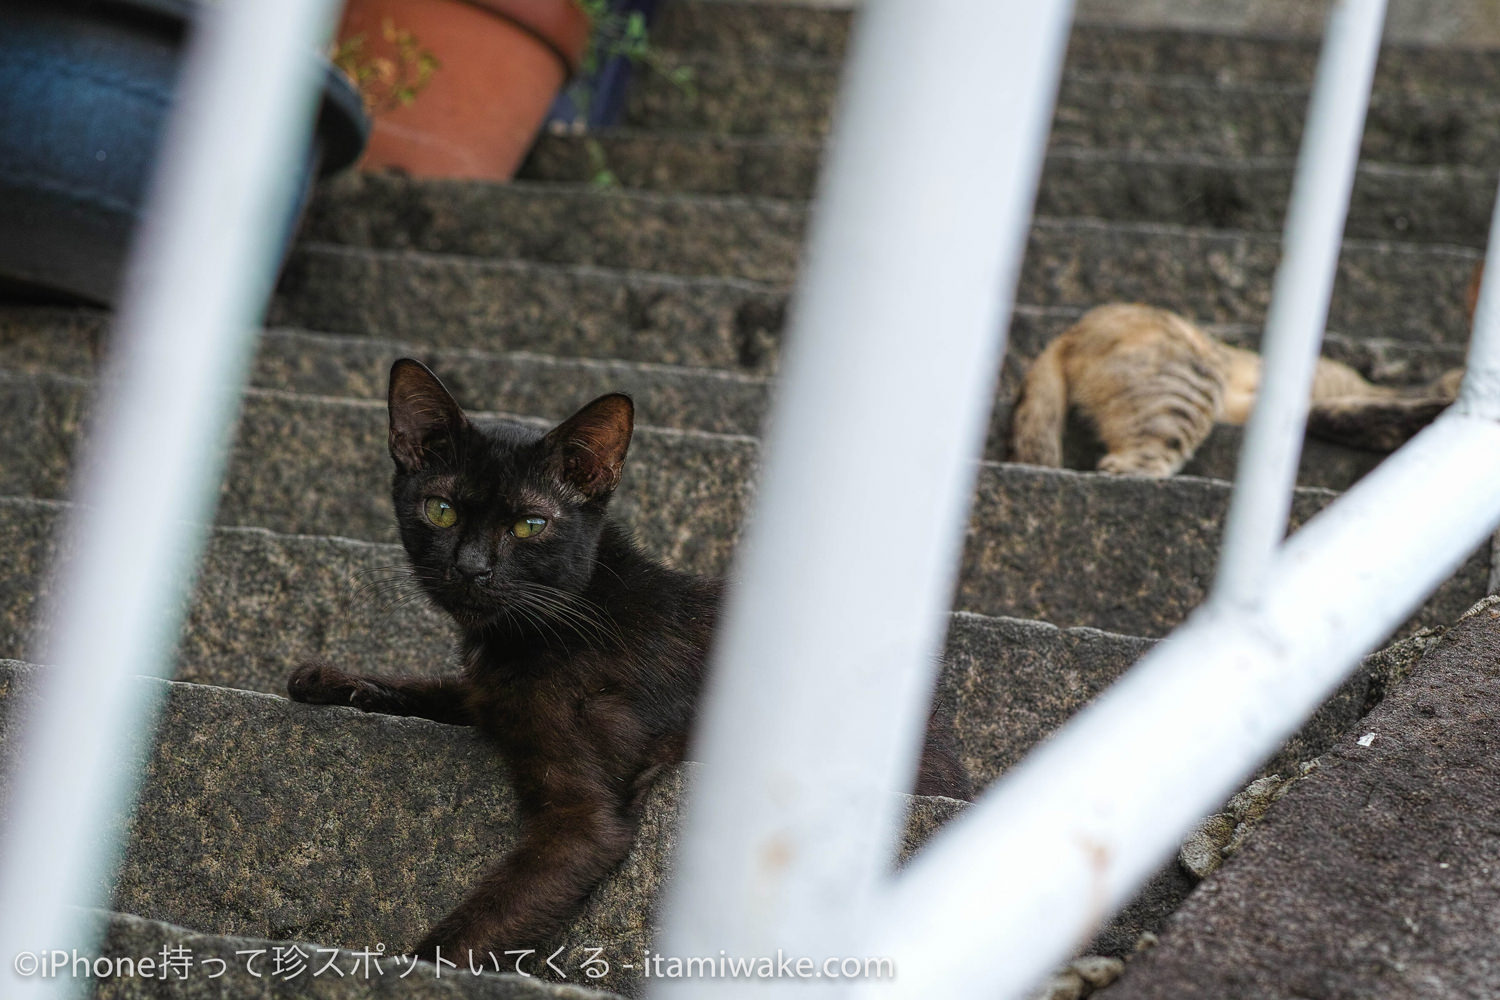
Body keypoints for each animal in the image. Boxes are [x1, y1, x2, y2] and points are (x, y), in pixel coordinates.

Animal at [289, 358, 972, 959]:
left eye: (530, 525)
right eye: (442, 510)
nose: (472, 569)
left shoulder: (585, 821)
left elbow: (481, 921)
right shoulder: (487, 691)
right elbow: (441, 687)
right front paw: (336, 680)